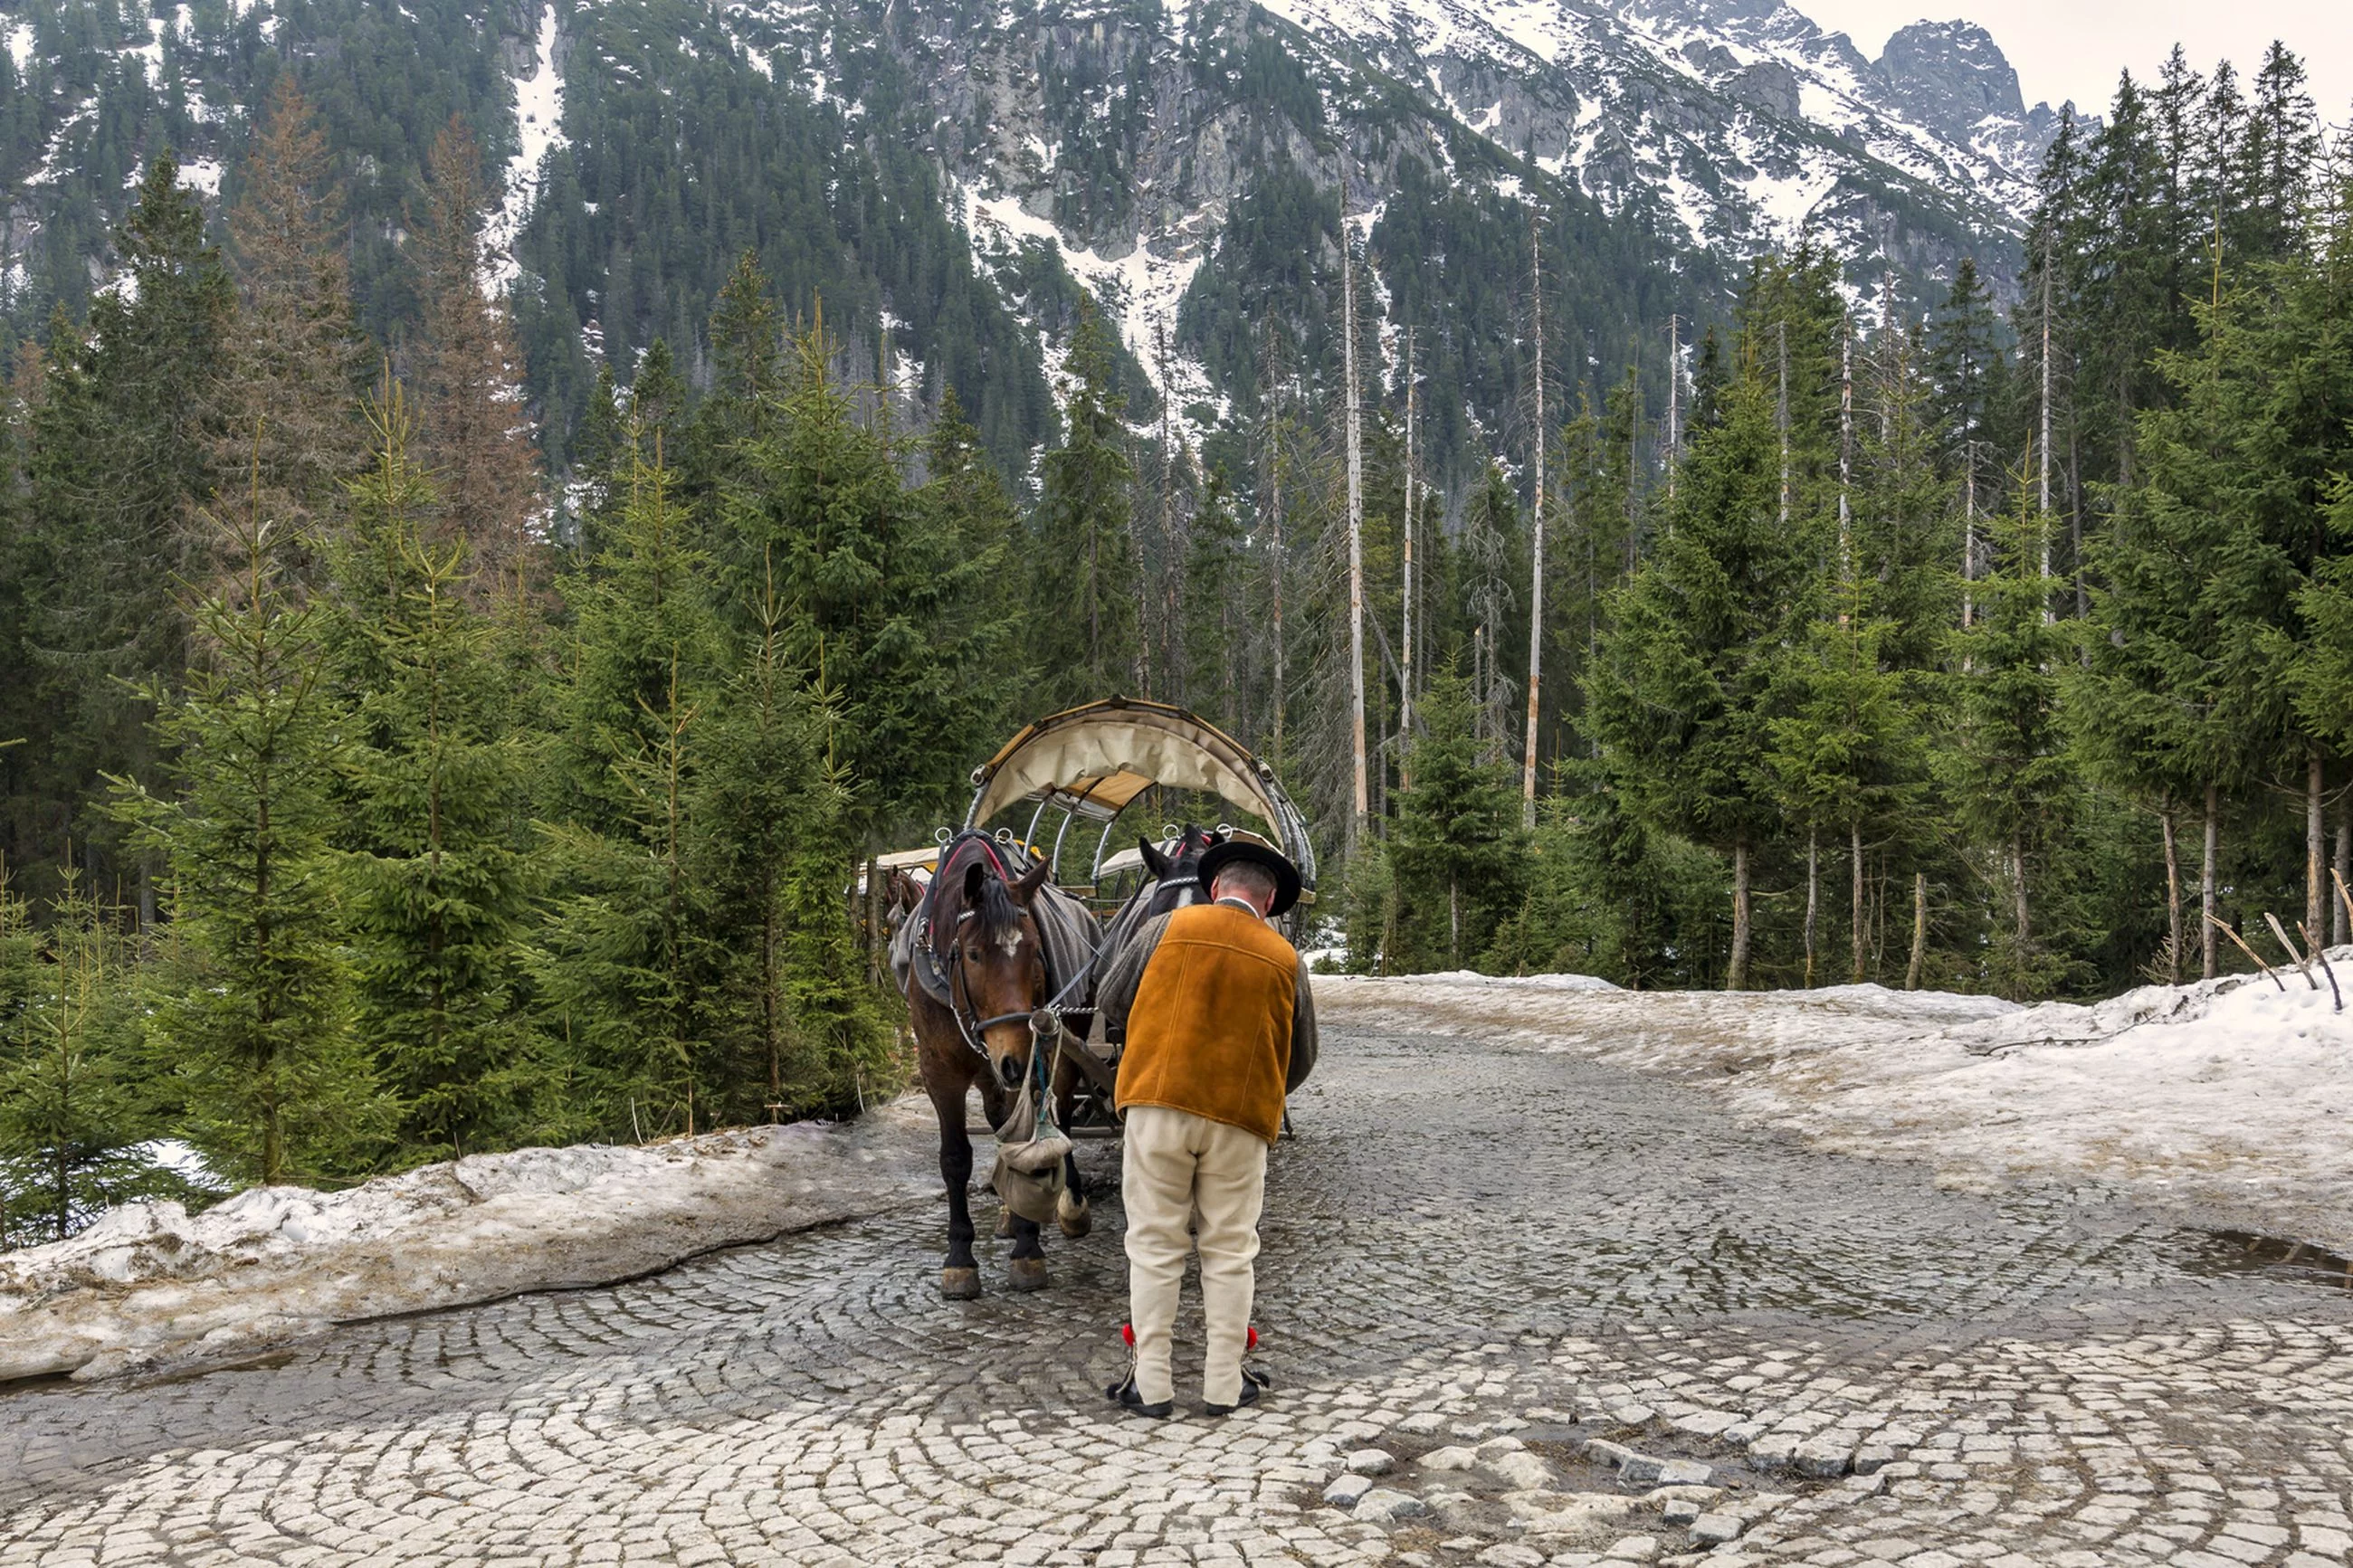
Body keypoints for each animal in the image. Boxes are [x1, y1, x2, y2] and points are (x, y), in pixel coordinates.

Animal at [893, 832, 1096, 1297]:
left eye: (1036, 952)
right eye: (972, 954)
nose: (1014, 1060)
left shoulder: (1027, 1055)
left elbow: (1026, 1139)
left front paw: (1028, 1250)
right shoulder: (941, 1070)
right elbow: (955, 1158)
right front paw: (960, 1258)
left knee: (1061, 1115)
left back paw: (1070, 1205)